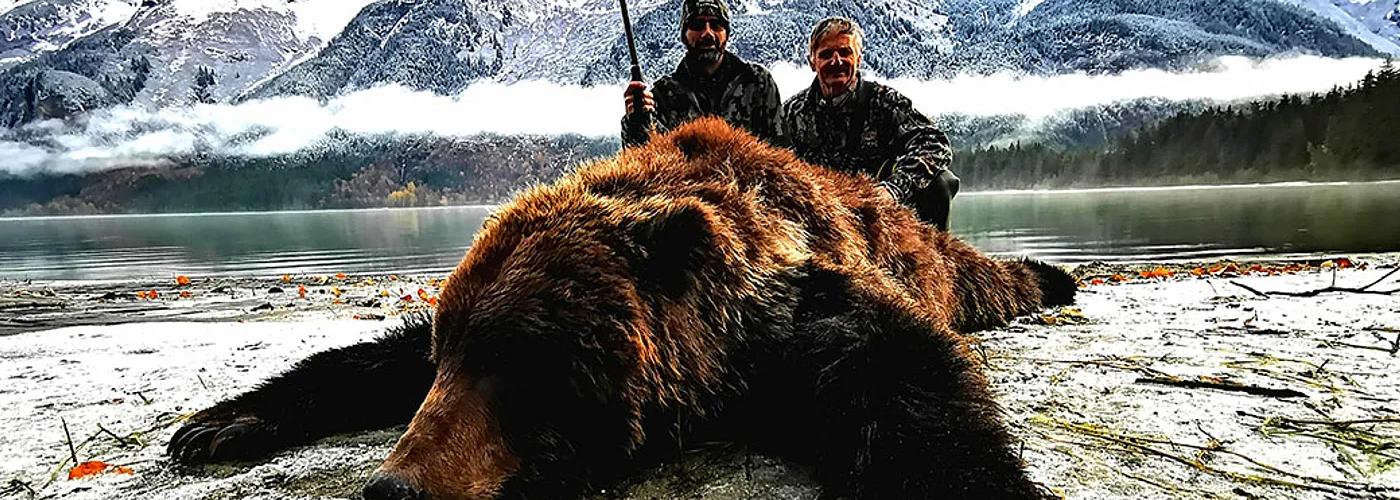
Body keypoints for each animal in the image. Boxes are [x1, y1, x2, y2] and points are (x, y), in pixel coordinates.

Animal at [167, 117, 1074, 499]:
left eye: (524, 360)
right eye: (448, 359)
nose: (396, 489)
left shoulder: (800, 312)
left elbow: (908, 392)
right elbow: (368, 356)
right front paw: (217, 423)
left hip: (926, 250)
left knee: (982, 279)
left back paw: (1053, 275)